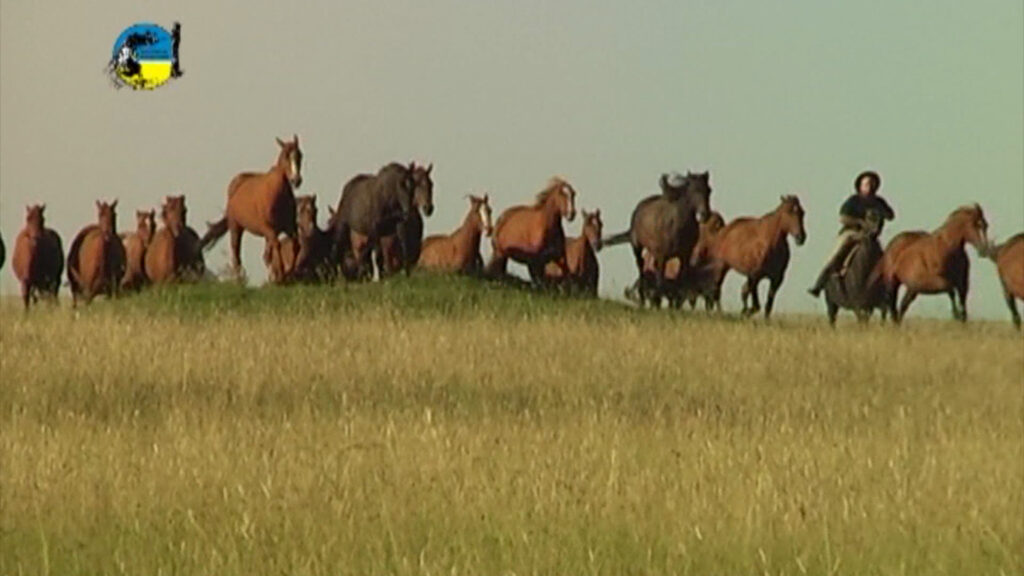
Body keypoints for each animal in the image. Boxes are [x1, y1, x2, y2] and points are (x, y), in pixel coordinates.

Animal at [200, 135, 302, 281]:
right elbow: (277, 247)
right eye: (285, 156)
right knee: (236, 254)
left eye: (300, 155)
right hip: (236, 227)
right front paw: (281, 275)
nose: (296, 180)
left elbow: (295, 245)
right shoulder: (269, 230)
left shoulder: (289, 227)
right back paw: (239, 279)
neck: (278, 194)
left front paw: (288, 273)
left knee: (264, 255)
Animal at [603, 172, 712, 306]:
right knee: (641, 267)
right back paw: (643, 299)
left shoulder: (684, 256)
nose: (705, 214)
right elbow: (661, 279)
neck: (677, 225)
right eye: (693, 190)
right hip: (637, 247)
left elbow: (680, 280)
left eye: (709, 190)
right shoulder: (662, 256)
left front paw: (675, 305)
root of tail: (638, 208)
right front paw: (657, 302)